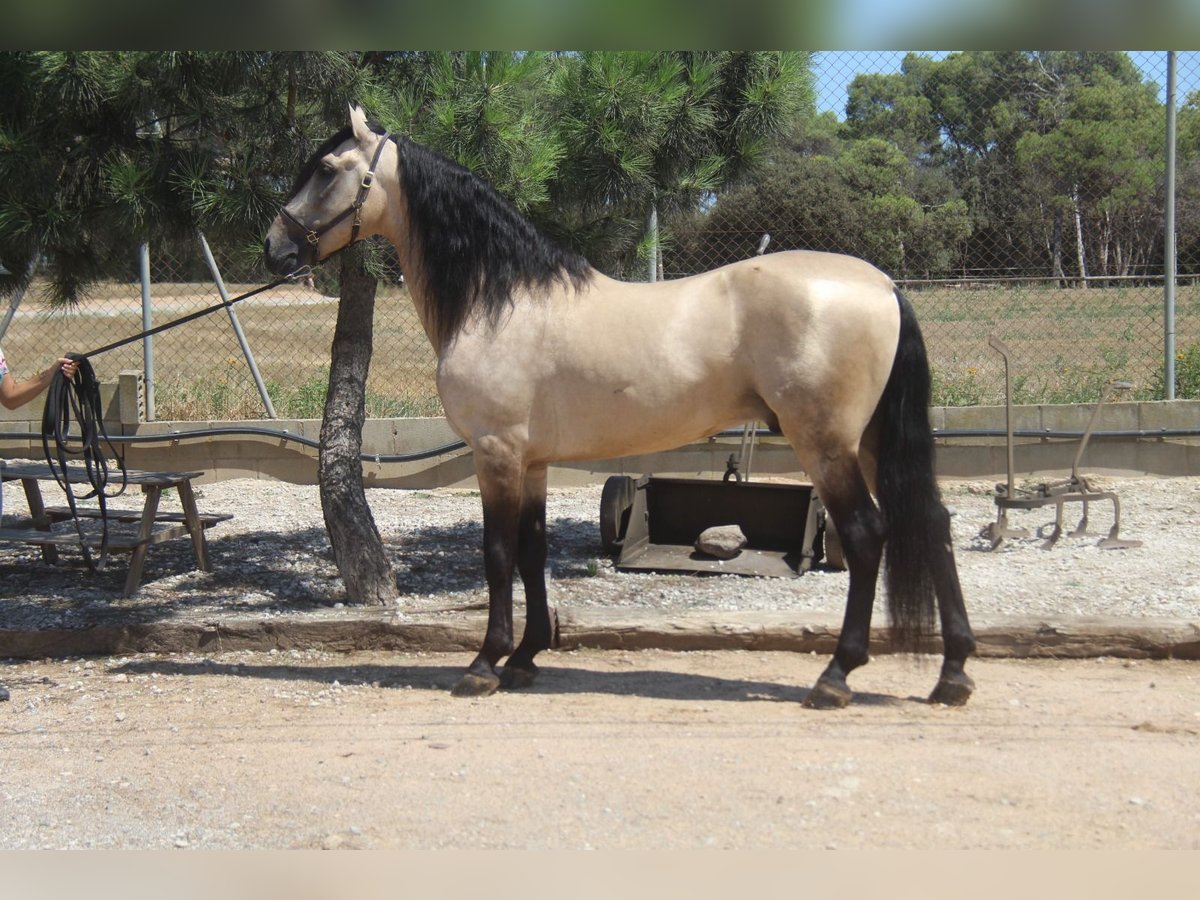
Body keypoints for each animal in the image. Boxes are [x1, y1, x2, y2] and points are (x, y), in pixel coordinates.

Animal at [262, 105, 974, 710]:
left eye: (327, 169)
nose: (275, 249)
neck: (499, 300)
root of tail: (883, 283)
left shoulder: (496, 452)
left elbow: (497, 553)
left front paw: (485, 664)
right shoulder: (533, 461)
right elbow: (532, 551)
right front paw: (525, 659)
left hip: (826, 445)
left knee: (867, 534)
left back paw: (836, 676)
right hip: (871, 443)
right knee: (930, 523)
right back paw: (953, 675)